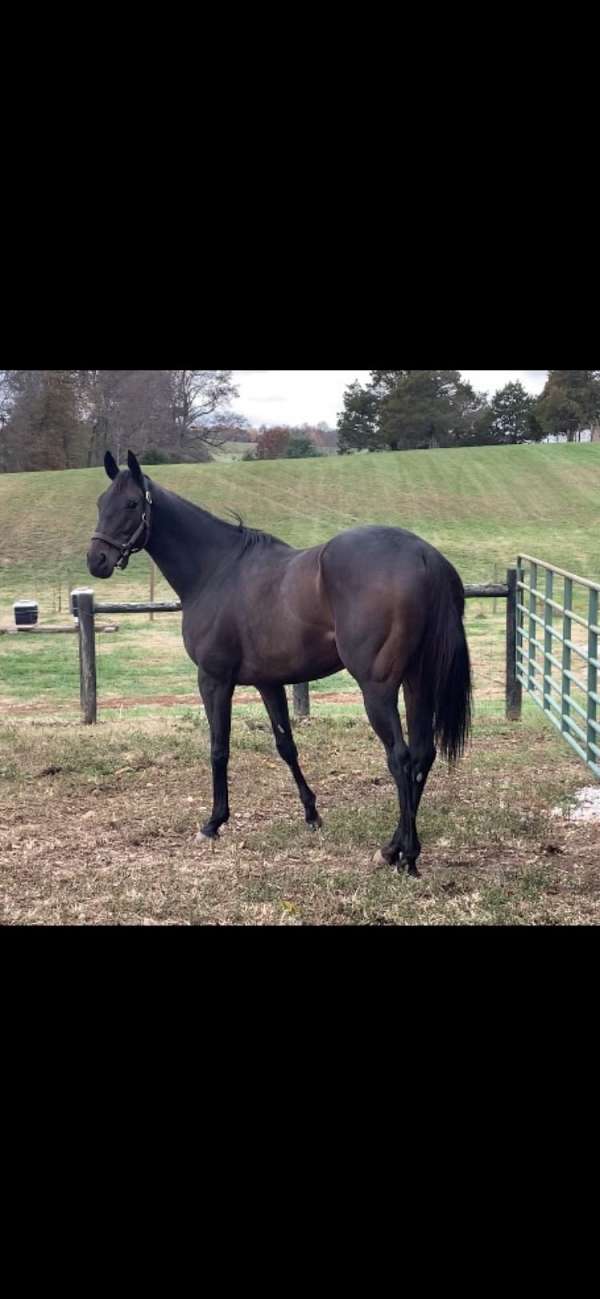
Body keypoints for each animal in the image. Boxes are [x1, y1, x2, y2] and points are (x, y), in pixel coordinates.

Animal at [87, 450, 472, 877]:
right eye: (101, 503)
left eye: (131, 504)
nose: (96, 560)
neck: (217, 570)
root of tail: (424, 555)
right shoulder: (268, 682)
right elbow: (286, 745)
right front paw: (311, 813)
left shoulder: (214, 680)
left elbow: (219, 748)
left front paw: (213, 822)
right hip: (417, 681)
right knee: (422, 754)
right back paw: (397, 851)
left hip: (378, 688)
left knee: (400, 759)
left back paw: (402, 853)